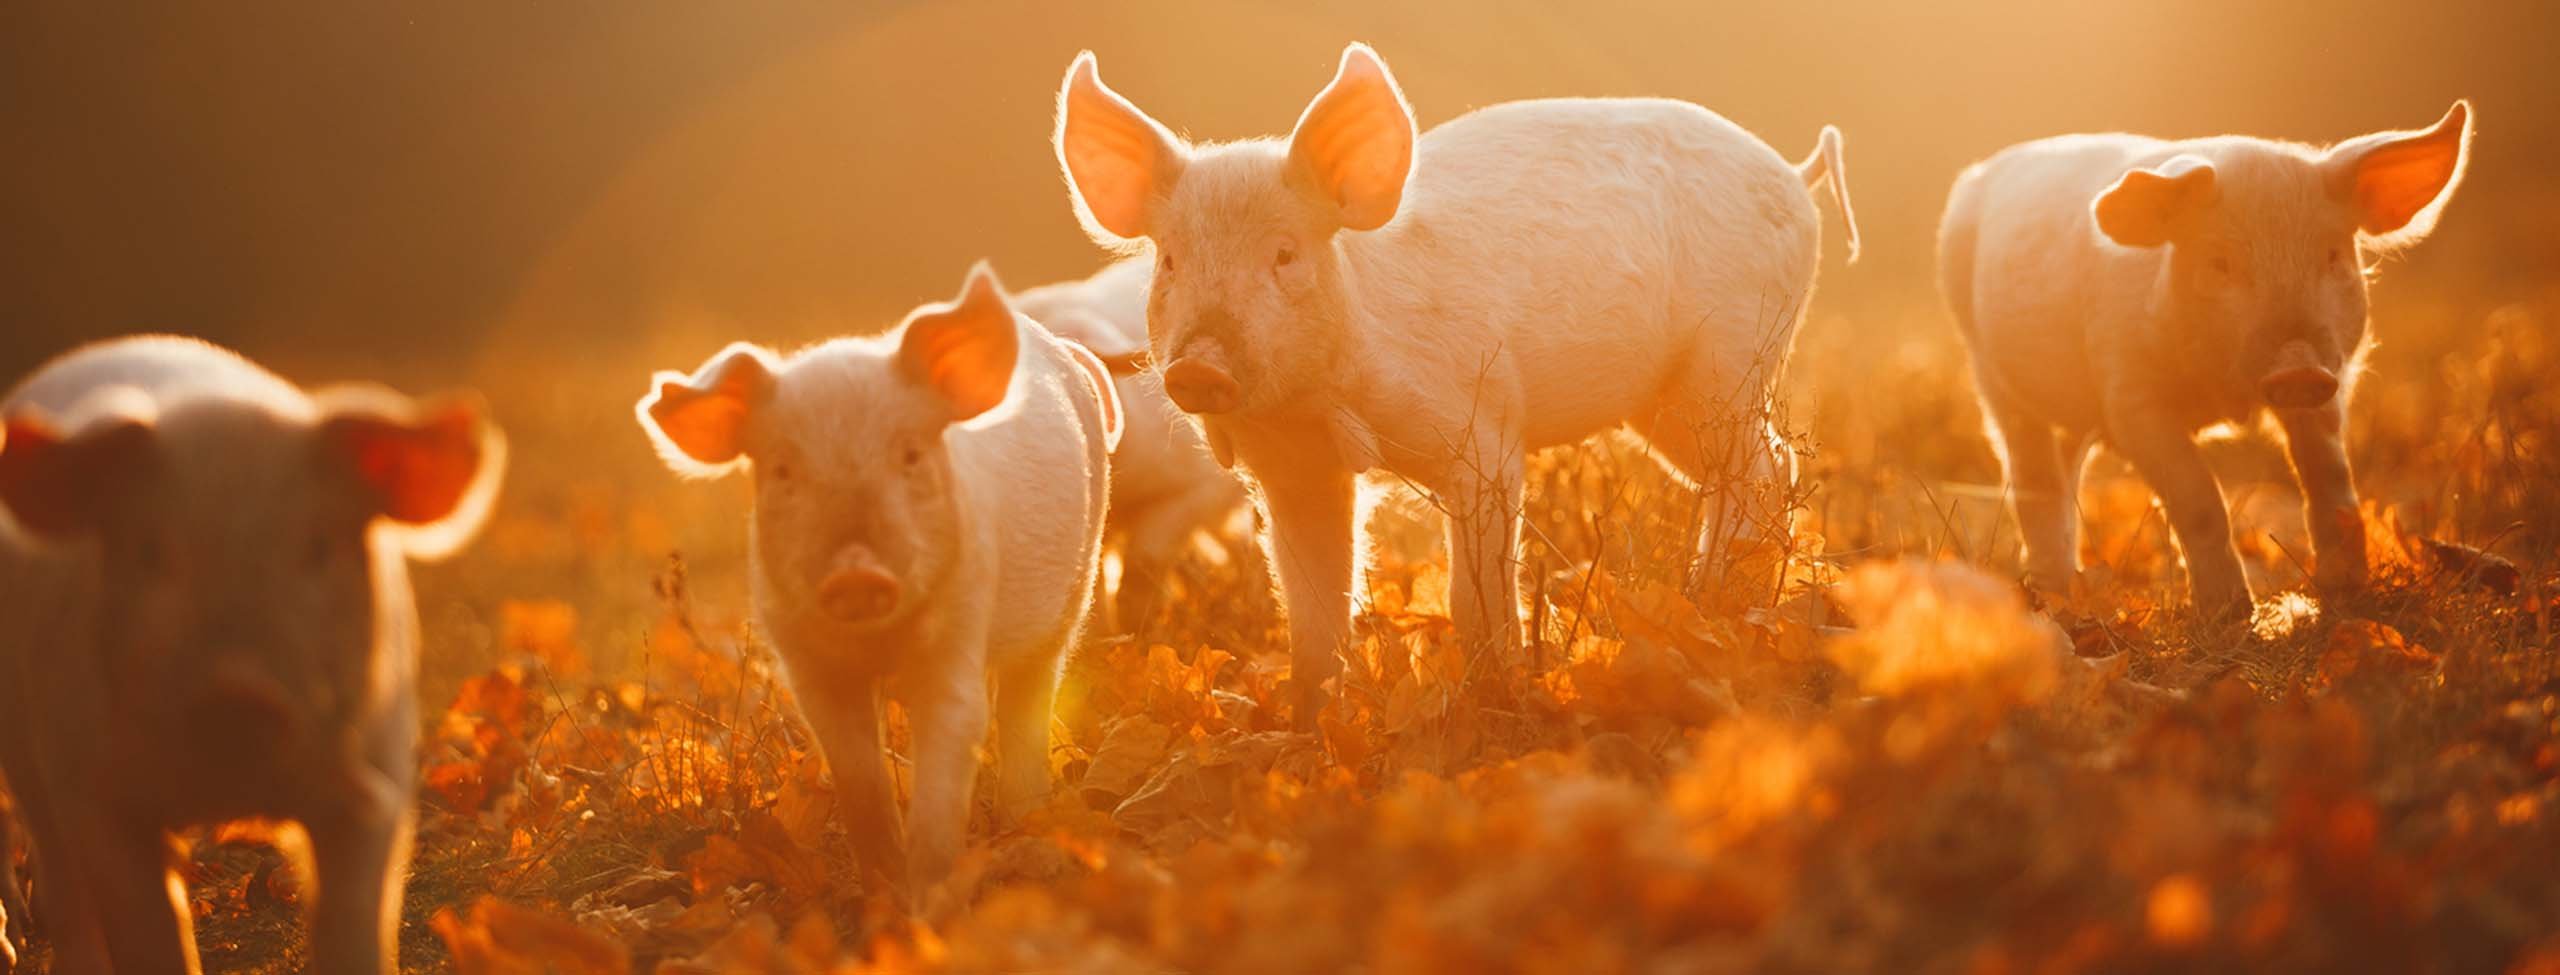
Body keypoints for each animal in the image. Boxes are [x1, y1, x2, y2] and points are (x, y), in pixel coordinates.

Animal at [0, 335, 505, 973]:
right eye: (149, 551)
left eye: (318, 544)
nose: (239, 691)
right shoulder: (95, 795)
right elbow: (151, 936)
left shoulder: (380, 770)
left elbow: (355, 928)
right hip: (28, 755)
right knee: (61, 881)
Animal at [635, 264, 1121, 902]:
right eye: (784, 469)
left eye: (910, 454)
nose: (856, 569)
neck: (876, 645)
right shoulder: (809, 666)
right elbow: (859, 779)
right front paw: (883, 895)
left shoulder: (960, 630)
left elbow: (953, 752)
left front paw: (928, 902)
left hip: (1071, 594)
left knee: (1028, 697)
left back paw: (1029, 829)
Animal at [1051, 44, 1858, 724]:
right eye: (1171, 261)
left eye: (1284, 253)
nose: (1198, 366)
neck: (1323, 405)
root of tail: (1795, 173)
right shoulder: (1294, 475)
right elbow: (1312, 611)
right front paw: (1306, 725)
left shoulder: (1484, 434)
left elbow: (1472, 594)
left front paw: (1496, 697)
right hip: (1666, 404)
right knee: (1762, 468)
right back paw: (1721, 601)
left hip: (1731, 360)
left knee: (1762, 469)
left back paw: (1726, 609)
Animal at [1938, 103, 2472, 619]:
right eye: (2220, 262)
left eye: (2333, 254)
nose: (2297, 364)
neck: (2222, 396)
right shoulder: (2130, 397)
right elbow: (2198, 497)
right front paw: (2230, 615)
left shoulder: (2329, 384)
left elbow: (2330, 479)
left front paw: (2347, 592)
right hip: (1991, 375)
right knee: (2033, 478)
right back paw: (2054, 596)